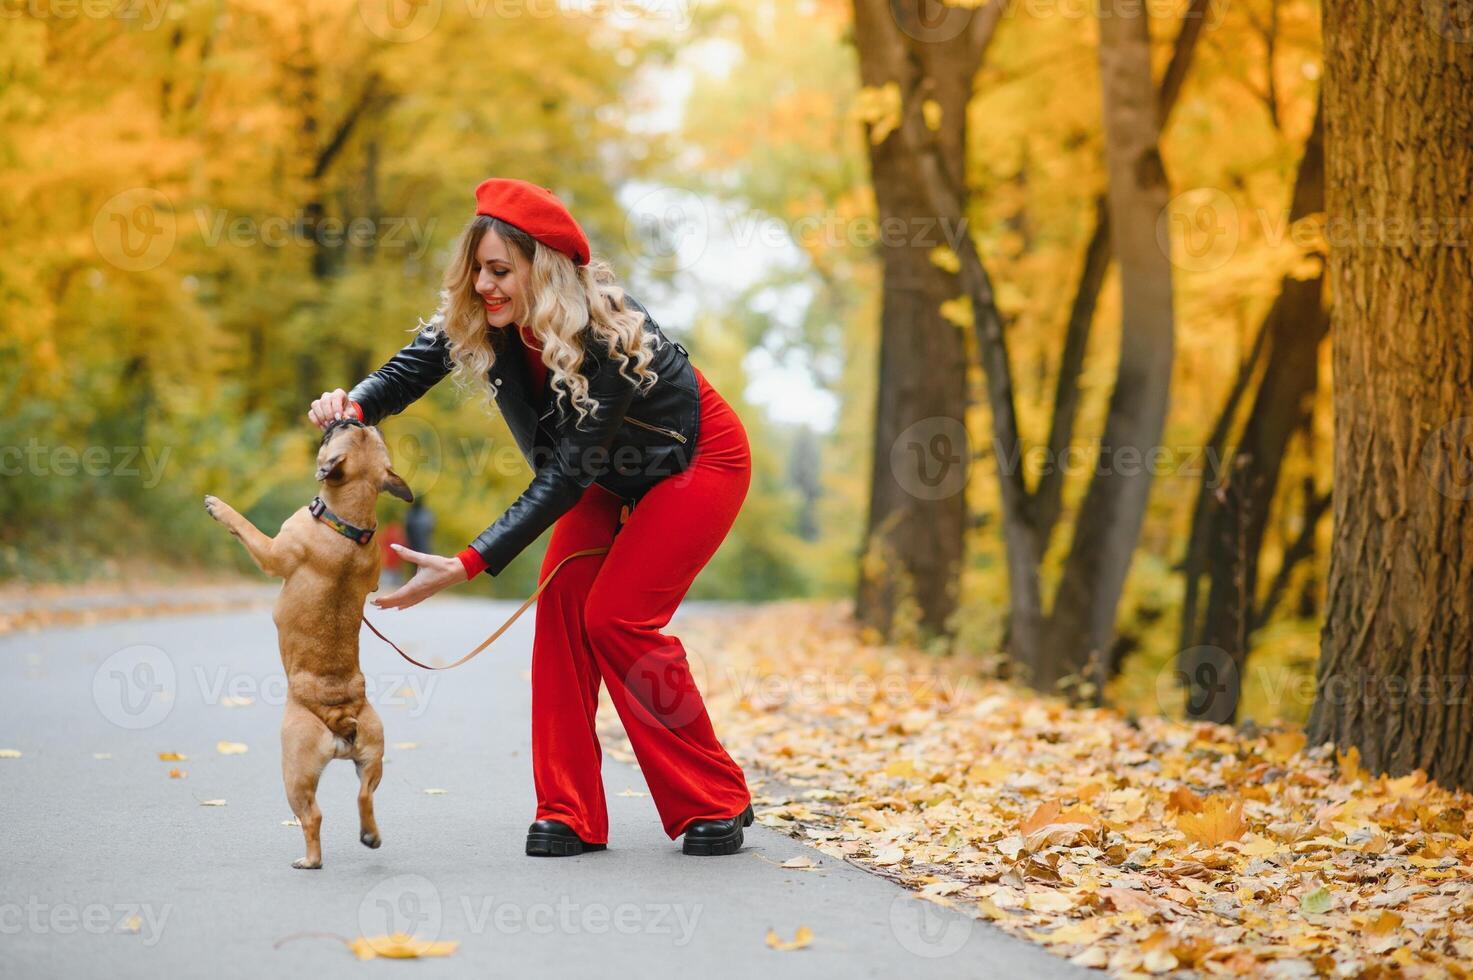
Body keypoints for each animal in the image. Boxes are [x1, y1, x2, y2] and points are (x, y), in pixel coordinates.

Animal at [201, 415, 415, 866]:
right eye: (363, 431)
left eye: (341, 432)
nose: (351, 415)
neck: (350, 522)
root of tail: (340, 715)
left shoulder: (270, 552)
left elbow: (245, 527)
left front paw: (219, 506)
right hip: (373, 755)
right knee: (365, 797)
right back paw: (370, 836)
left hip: (294, 766)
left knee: (312, 815)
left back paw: (310, 860)